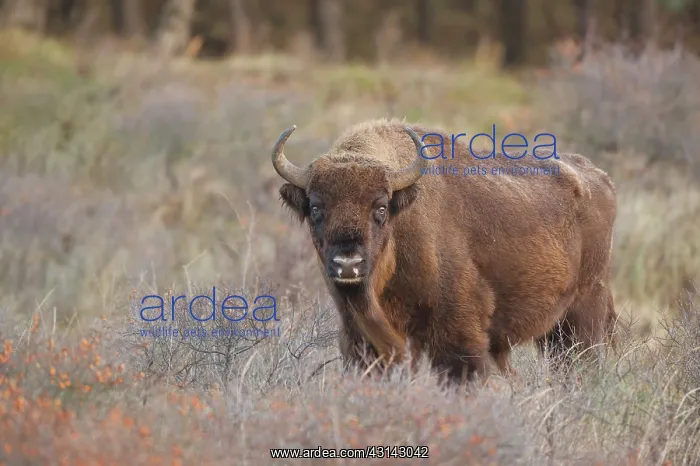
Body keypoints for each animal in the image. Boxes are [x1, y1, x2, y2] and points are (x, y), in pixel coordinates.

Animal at [272, 118, 618, 383]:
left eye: (380, 207)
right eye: (316, 207)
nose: (347, 264)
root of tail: (601, 179)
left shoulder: (458, 336)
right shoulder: (362, 340)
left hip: (582, 316)